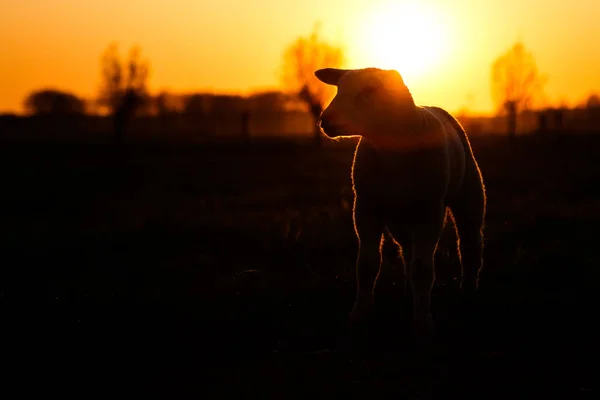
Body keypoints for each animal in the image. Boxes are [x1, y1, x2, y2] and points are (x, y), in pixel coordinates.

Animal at [316, 67, 486, 336]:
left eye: (369, 91)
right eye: (339, 88)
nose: (325, 119)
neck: (393, 151)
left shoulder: (430, 210)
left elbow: (423, 269)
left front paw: (422, 323)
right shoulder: (367, 207)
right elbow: (366, 265)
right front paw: (359, 316)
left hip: (469, 194)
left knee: (470, 246)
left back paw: (468, 295)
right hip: (398, 218)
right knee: (408, 250)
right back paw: (408, 293)